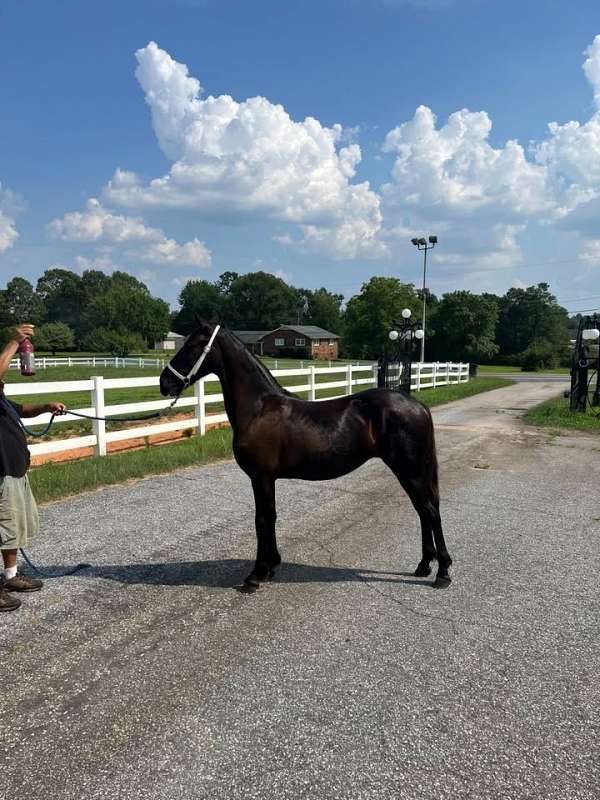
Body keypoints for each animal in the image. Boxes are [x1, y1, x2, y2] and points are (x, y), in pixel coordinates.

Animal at [159, 321, 452, 590]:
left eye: (193, 345)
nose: (164, 382)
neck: (258, 408)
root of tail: (417, 405)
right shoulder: (267, 479)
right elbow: (270, 517)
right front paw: (271, 567)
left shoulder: (260, 477)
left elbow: (262, 520)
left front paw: (256, 575)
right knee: (424, 510)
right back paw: (424, 566)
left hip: (410, 470)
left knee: (429, 511)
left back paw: (443, 573)